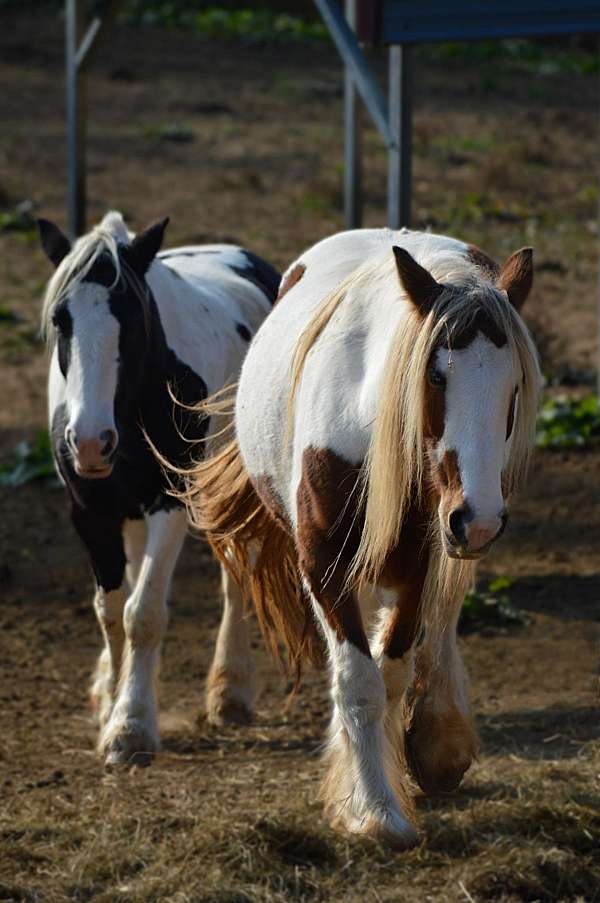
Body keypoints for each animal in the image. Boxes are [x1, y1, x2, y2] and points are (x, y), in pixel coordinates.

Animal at [38, 210, 280, 766]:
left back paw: (230, 691)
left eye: (131, 318)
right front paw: (112, 704)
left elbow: (143, 613)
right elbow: (110, 611)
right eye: (61, 319)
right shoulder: (89, 510)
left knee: (236, 579)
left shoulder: (169, 504)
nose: (90, 442)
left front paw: (130, 729)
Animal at [180, 227, 540, 846]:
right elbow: (358, 679)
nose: (479, 520)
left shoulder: (420, 565)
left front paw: (386, 784)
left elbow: (390, 673)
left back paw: (437, 744)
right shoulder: (324, 565)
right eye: (435, 376)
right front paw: (373, 811)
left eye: (512, 385)